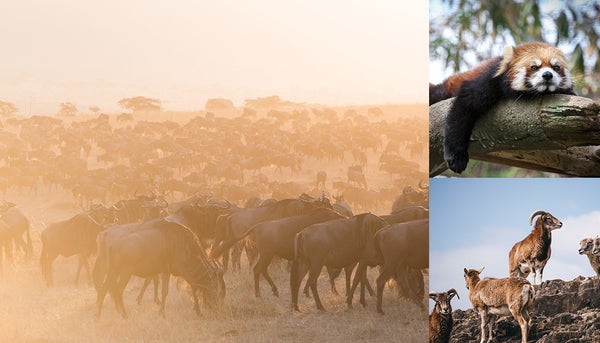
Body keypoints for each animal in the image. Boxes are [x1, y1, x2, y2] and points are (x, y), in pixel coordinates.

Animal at [428, 41, 576, 173]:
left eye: (556, 67)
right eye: (534, 67)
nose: (547, 75)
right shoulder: (489, 79)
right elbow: (462, 110)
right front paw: (456, 157)